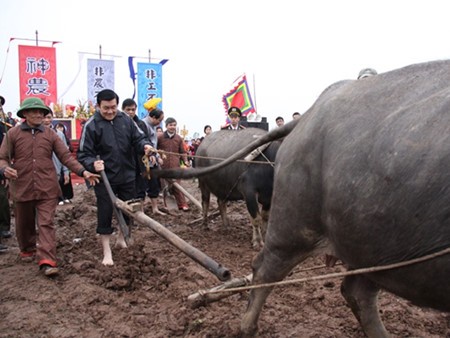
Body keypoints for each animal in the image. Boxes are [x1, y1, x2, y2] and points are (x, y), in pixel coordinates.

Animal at [156, 59, 450, 336]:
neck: (269, 158)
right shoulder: (251, 193)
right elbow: (255, 220)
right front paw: (255, 239)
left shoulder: (268, 197)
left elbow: (263, 217)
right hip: (264, 211)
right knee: (216, 212)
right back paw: (209, 228)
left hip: (370, 246)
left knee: (223, 204)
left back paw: (226, 224)